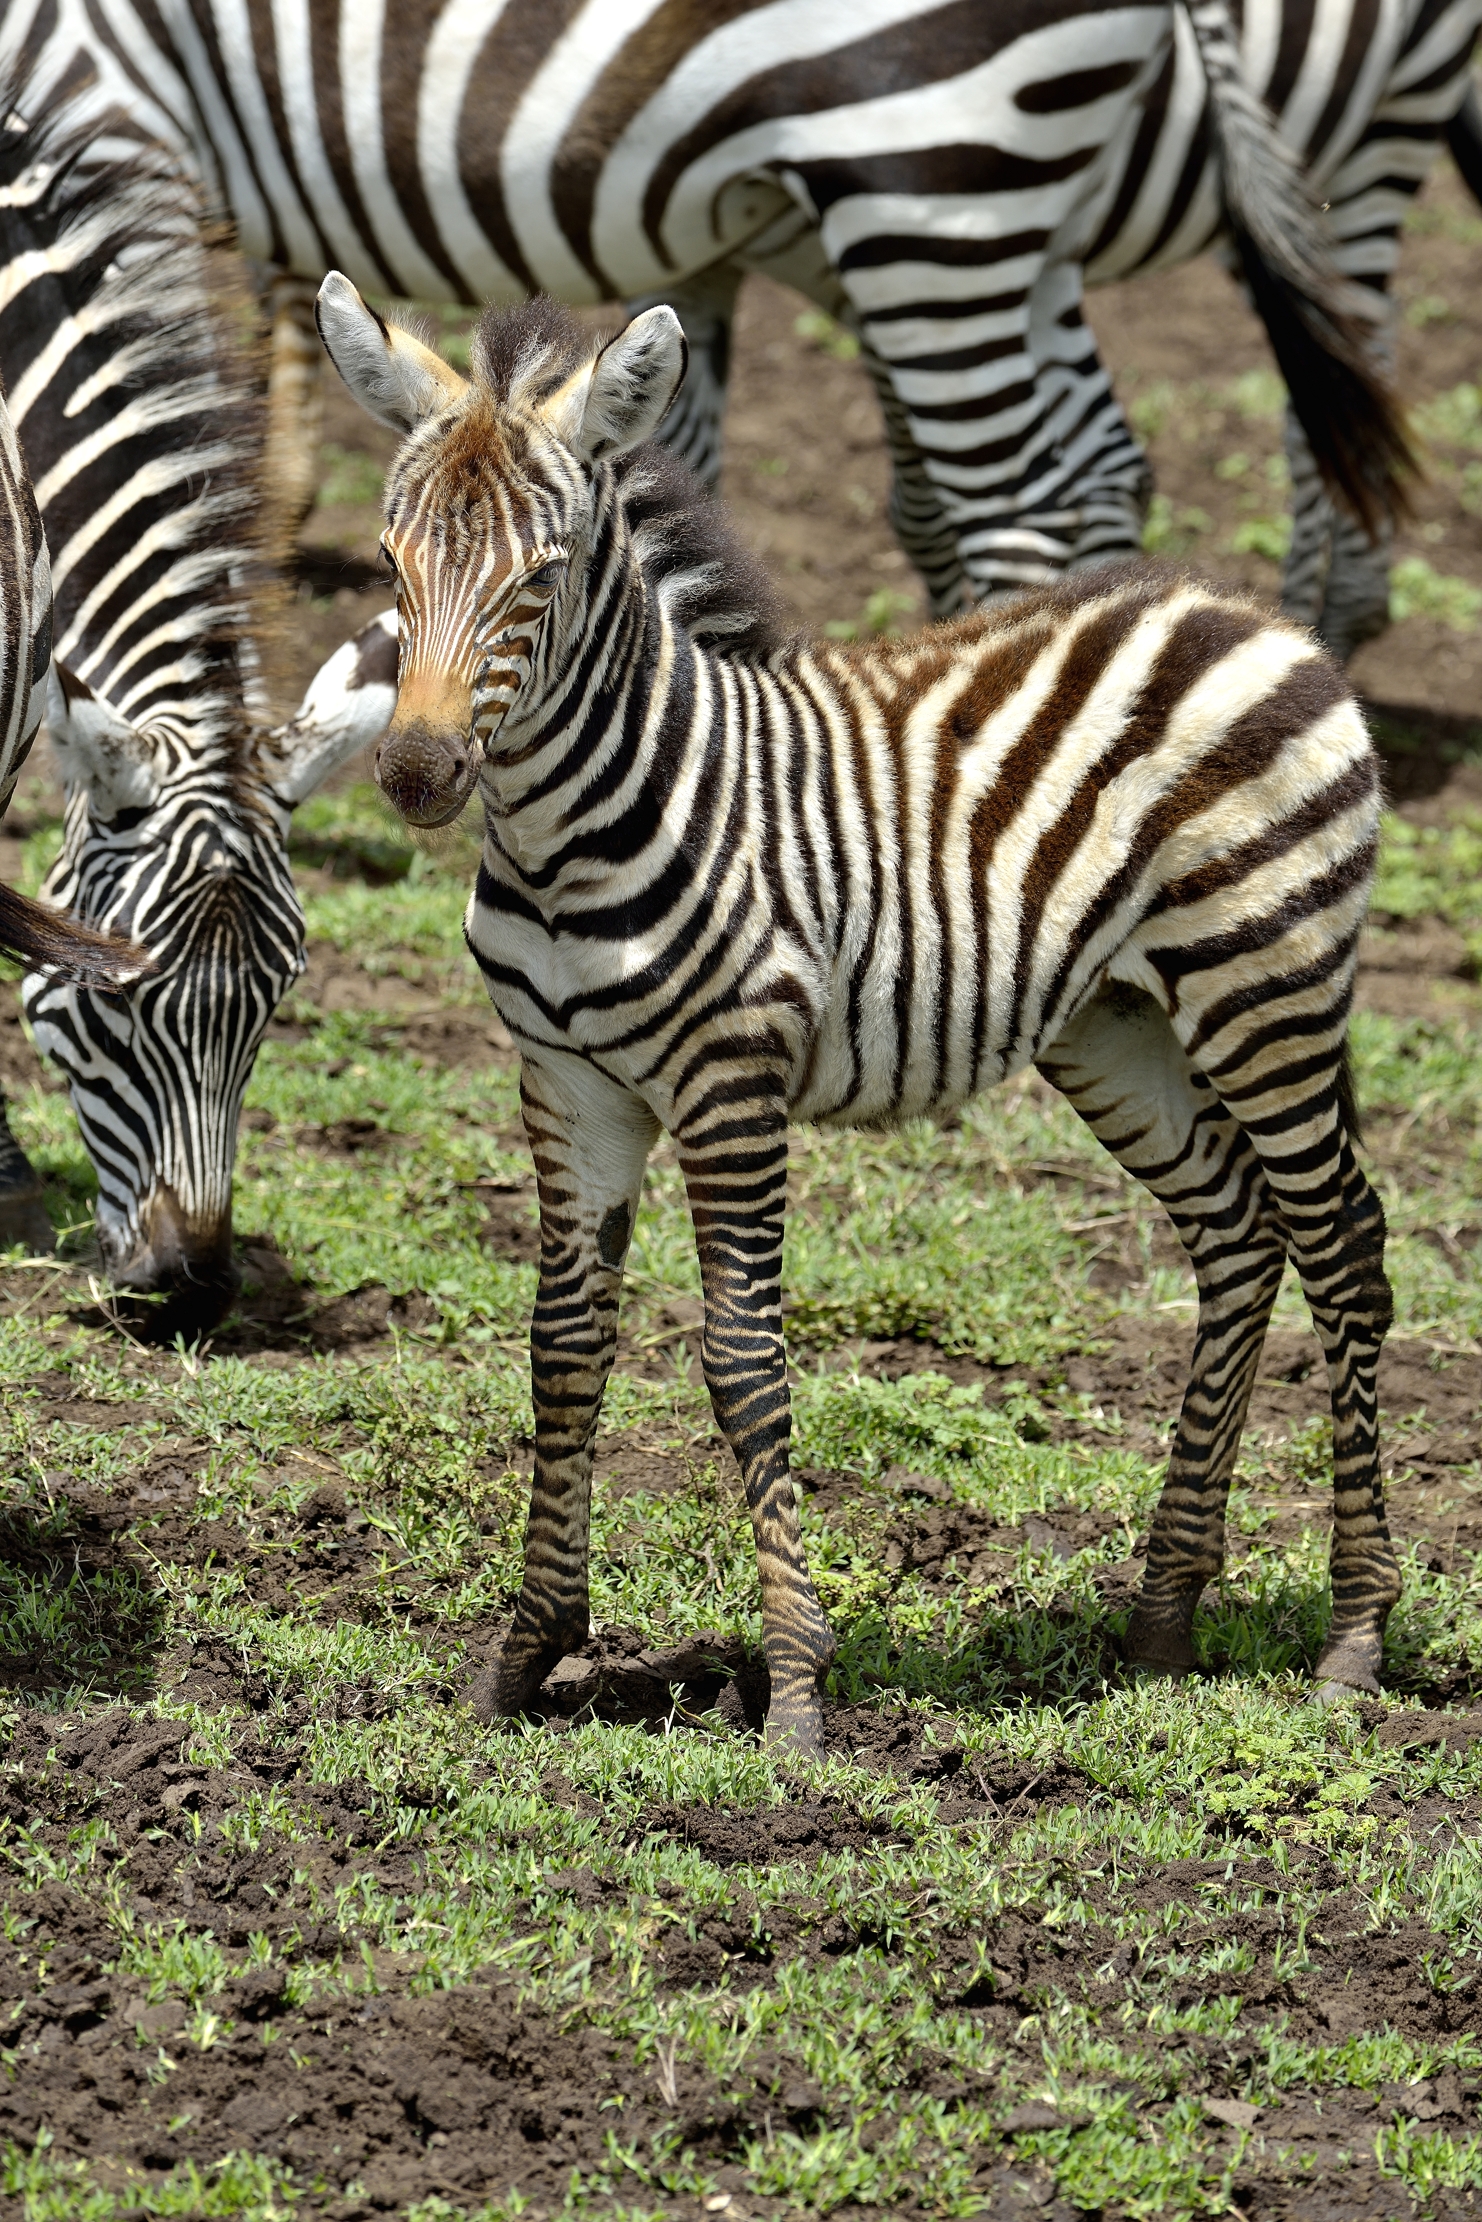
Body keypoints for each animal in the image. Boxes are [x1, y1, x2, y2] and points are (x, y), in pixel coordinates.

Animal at [317, 279, 1401, 1749]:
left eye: (539, 578)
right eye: (389, 565)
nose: (419, 775)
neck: (568, 838)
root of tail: (1257, 619)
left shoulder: (731, 1075)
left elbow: (739, 1356)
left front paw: (792, 1690)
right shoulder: (567, 1082)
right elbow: (561, 1346)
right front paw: (523, 1655)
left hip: (1265, 983)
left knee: (1341, 1240)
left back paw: (1353, 1638)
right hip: (1115, 1023)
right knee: (1238, 1233)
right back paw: (1164, 1619)